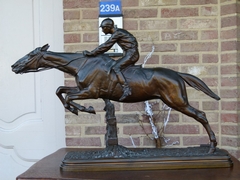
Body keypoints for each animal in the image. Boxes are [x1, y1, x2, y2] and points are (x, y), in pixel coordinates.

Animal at [12, 44, 220, 153]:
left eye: (30, 55)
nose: (14, 66)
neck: (81, 65)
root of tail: (177, 74)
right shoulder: (83, 89)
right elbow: (60, 90)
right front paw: (77, 109)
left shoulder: (91, 91)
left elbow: (69, 96)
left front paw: (85, 109)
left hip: (176, 100)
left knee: (201, 115)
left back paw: (211, 147)